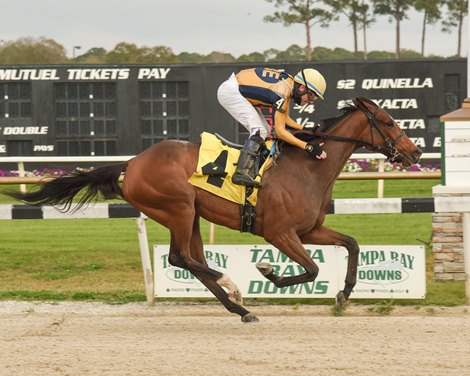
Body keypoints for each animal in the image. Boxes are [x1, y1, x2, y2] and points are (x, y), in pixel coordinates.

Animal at [5, 97, 422, 324]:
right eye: (388, 121)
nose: (415, 151)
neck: (307, 167)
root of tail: (132, 163)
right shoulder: (280, 233)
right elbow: (312, 269)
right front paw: (268, 272)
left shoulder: (308, 230)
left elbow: (351, 244)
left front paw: (344, 293)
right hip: (178, 208)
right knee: (180, 258)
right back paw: (233, 285)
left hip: (190, 215)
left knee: (193, 260)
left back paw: (237, 304)